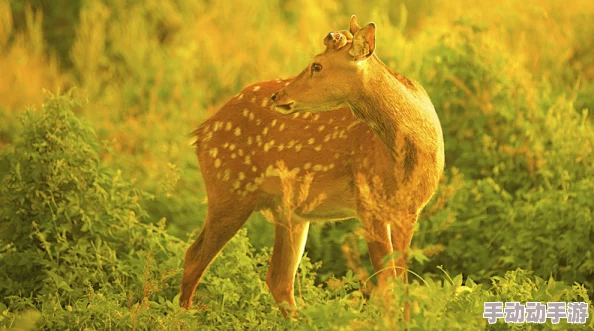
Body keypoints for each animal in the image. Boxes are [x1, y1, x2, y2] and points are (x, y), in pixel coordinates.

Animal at [178, 15, 442, 320]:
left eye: (317, 65)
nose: (278, 96)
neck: (411, 152)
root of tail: (201, 133)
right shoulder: (368, 205)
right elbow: (388, 282)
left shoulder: (409, 211)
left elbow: (403, 282)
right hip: (230, 189)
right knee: (195, 256)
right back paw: (181, 317)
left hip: (287, 211)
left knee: (278, 278)